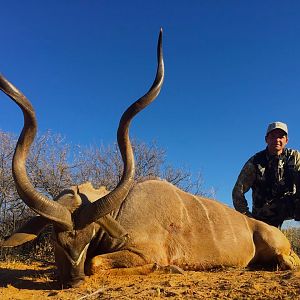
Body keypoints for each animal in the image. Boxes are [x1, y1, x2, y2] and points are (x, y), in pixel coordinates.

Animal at [0, 31, 300, 288]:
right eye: (55, 236)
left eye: (91, 234)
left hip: (278, 247)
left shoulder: (146, 250)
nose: (74, 279)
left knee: (289, 262)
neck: (122, 210)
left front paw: (169, 268)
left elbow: (97, 263)